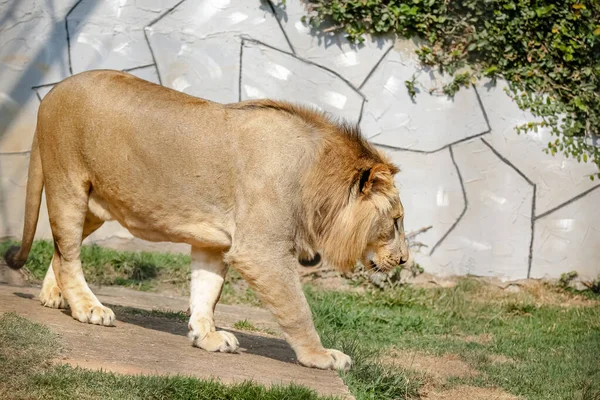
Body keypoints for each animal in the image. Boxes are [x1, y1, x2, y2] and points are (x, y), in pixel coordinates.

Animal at [3, 69, 408, 372]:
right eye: (396, 221)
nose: (404, 260)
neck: (317, 178)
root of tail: (54, 90)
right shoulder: (262, 252)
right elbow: (297, 309)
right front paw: (320, 357)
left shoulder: (216, 242)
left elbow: (206, 291)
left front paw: (206, 337)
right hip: (68, 184)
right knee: (68, 252)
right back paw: (87, 308)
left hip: (96, 203)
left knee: (60, 250)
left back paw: (55, 297)